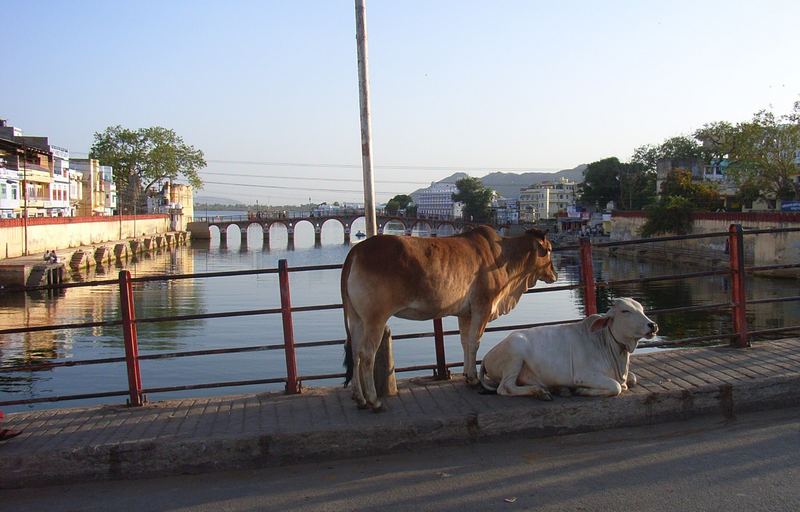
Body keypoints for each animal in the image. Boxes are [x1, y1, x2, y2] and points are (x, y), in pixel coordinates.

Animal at [340, 226, 556, 410]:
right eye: (549, 250)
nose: (554, 274)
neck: (503, 257)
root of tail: (356, 250)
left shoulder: (465, 313)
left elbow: (465, 342)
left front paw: (467, 376)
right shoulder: (482, 306)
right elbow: (474, 342)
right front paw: (474, 378)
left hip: (357, 318)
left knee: (354, 351)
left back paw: (359, 398)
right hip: (375, 318)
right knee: (367, 355)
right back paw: (373, 400)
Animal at [482, 296, 656, 400]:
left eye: (642, 309)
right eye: (625, 311)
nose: (652, 325)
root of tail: (485, 357)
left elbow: (633, 378)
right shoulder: (584, 375)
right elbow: (616, 387)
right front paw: (582, 390)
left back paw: (558, 389)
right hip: (515, 353)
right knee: (505, 388)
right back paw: (540, 392)